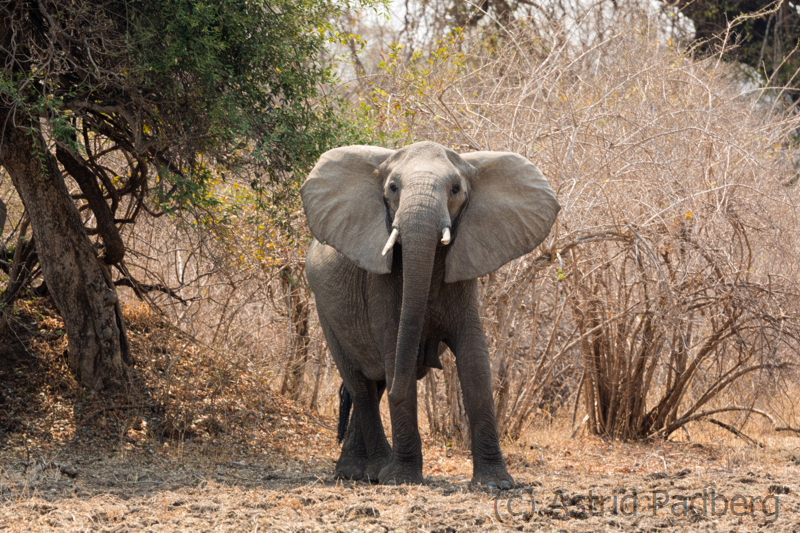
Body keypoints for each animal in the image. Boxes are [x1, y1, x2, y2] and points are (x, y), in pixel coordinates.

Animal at [302, 140, 564, 486]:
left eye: (455, 189)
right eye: (393, 187)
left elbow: (475, 360)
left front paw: (495, 484)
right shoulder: (379, 282)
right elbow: (393, 348)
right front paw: (401, 480)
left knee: (376, 384)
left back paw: (361, 472)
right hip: (325, 311)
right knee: (361, 385)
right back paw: (371, 471)